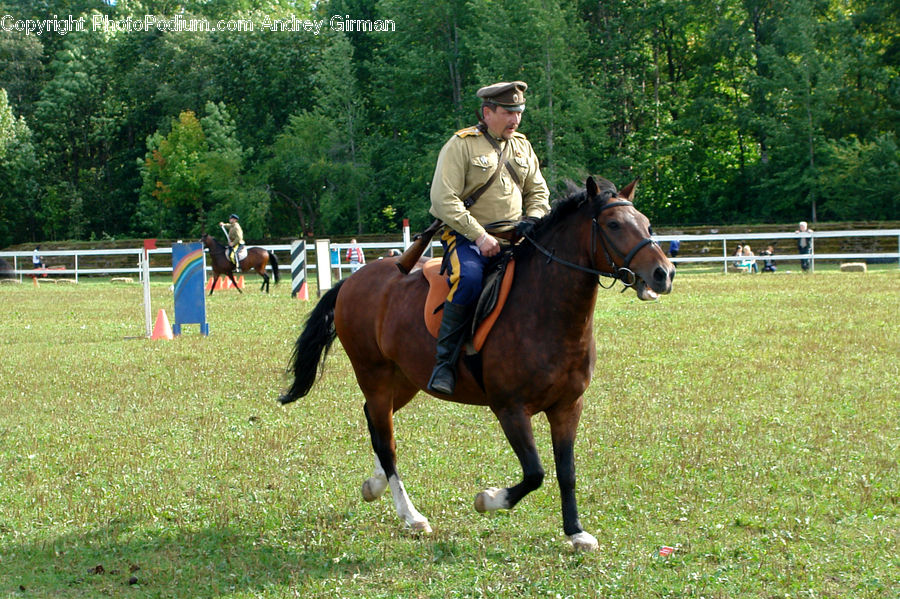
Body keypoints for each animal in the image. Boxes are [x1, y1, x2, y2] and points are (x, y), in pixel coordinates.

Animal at [277, 176, 675, 551]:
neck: (545, 310)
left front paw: (576, 532)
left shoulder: (567, 407)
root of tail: (353, 281)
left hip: (403, 380)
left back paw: (375, 486)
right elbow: (535, 473)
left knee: (376, 423)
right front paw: (489, 499)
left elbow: (567, 472)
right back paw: (411, 515)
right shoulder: (510, 409)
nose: (664, 273)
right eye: (614, 225)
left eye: (645, 222)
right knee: (386, 441)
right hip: (373, 374)